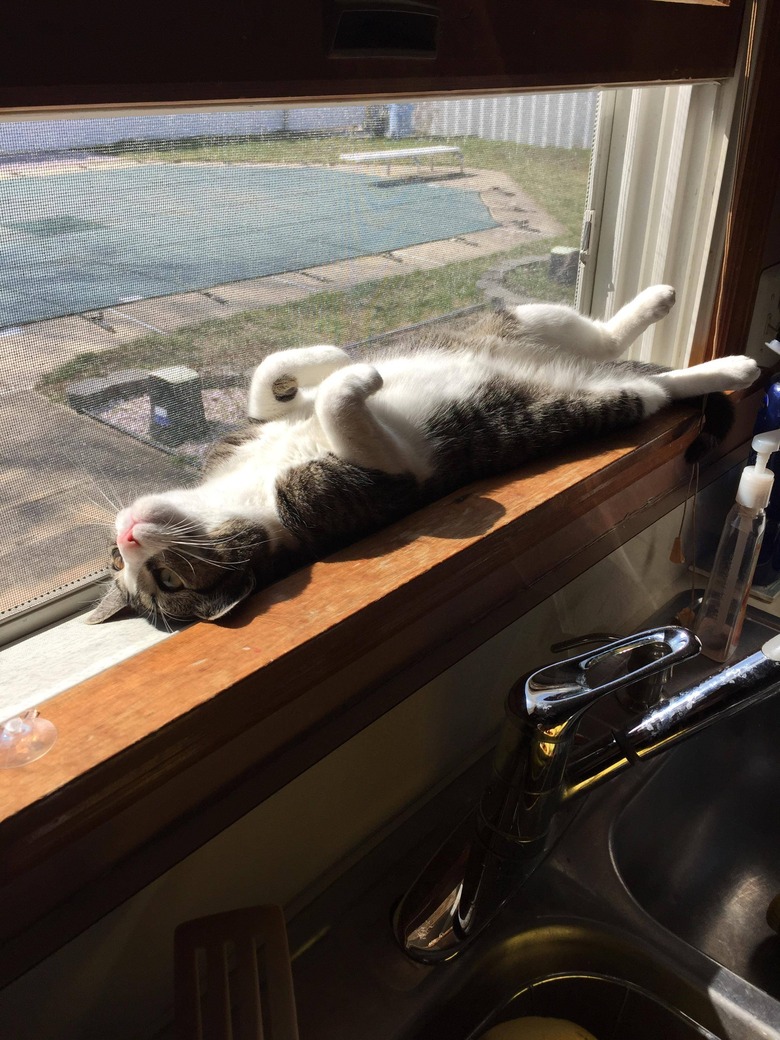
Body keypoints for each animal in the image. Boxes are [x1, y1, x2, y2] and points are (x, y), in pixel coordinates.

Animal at [88, 282, 761, 624]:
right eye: (165, 580)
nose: (125, 537)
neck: (243, 490)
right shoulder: (378, 480)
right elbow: (340, 407)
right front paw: (357, 378)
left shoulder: (249, 429)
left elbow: (268, 378)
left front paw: (331, 359)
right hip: (597, 399)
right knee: (659, 386)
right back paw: (735, 366)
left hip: (524, 320)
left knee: (602, 334)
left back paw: (660, 299)